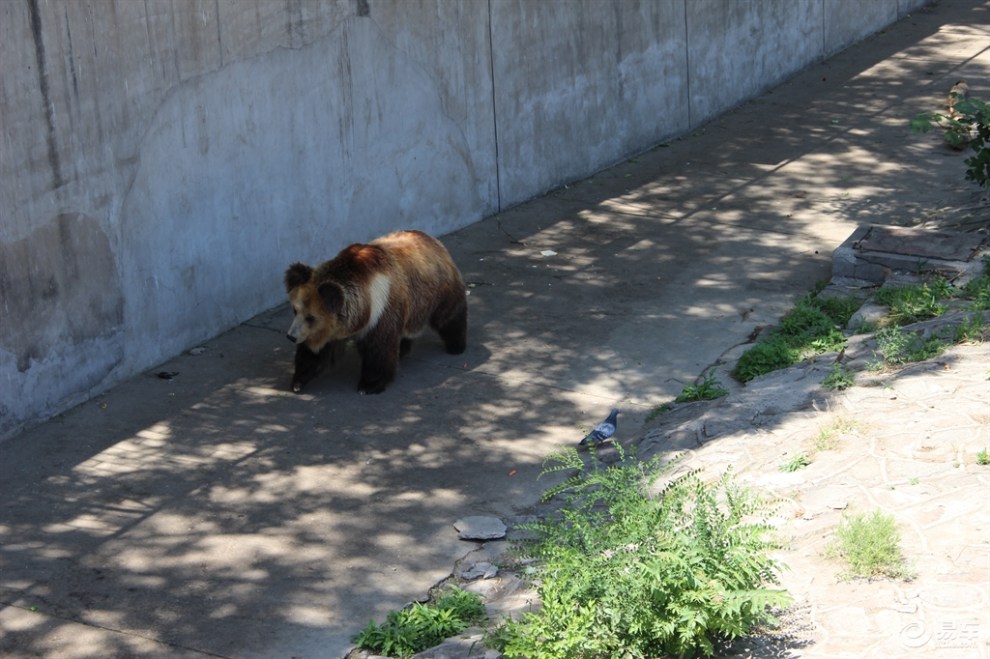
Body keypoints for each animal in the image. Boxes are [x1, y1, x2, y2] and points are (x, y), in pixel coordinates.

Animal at [282, 229, 468, 394]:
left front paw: (369, 385)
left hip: (438, 288)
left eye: (311, 317)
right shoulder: (330, 329)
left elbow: (379, 350)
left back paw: (456, 345)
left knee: (449, 315)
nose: (291, 336)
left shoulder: (382, 311)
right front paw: (298, 380)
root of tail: (431, 238)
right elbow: (316, 352)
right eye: (295, 310)